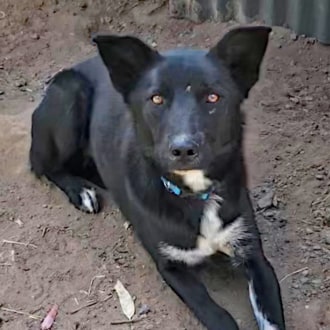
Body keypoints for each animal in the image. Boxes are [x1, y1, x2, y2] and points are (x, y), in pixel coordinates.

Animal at [29, 26, 284, 330]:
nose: (183, 149)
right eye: (157, 99)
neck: (194, 194)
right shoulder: (170, 267)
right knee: (43, 164)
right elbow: (217, 315)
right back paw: (80, 191)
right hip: (71, 95)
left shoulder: (255, 257)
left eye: (213, 97)